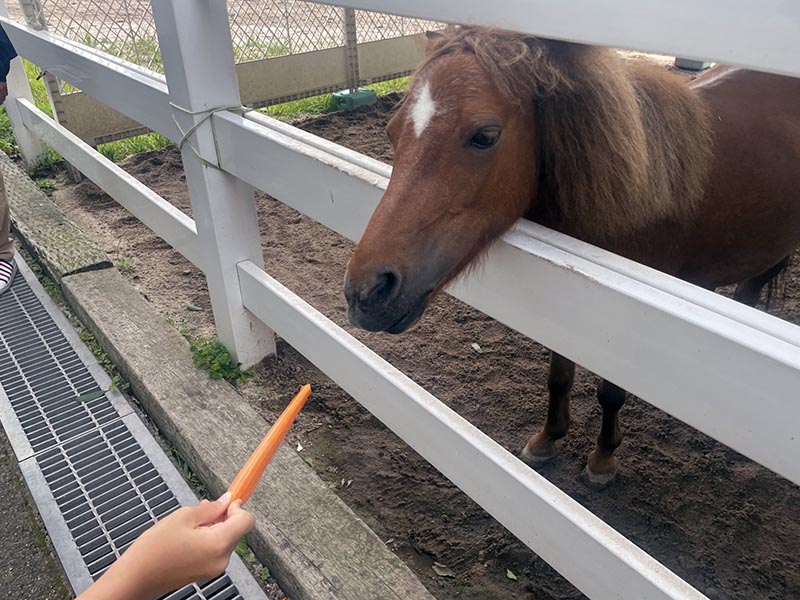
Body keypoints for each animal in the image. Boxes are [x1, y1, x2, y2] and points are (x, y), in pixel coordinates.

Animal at [342, 29, 800, 488]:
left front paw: (603, 459)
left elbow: (610, 392)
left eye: (485, 136)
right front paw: (548, 438)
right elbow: (559, 377)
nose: (367, 292)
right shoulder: (573, 307)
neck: (627, 198)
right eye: (392, 132)